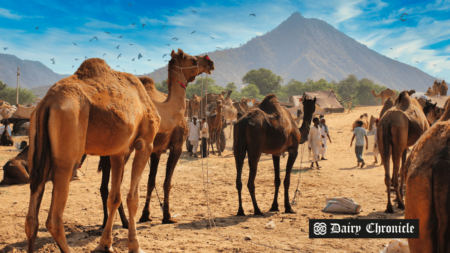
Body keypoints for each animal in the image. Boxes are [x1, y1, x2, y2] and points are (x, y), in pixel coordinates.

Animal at [97, 74, 191, 227]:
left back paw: (106, 222)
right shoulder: (177, 146)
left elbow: (151, 181)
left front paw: (145, 215)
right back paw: (124, 222)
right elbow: (167, 182)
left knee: (105, 186)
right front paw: (167, 217)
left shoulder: (156, 151)